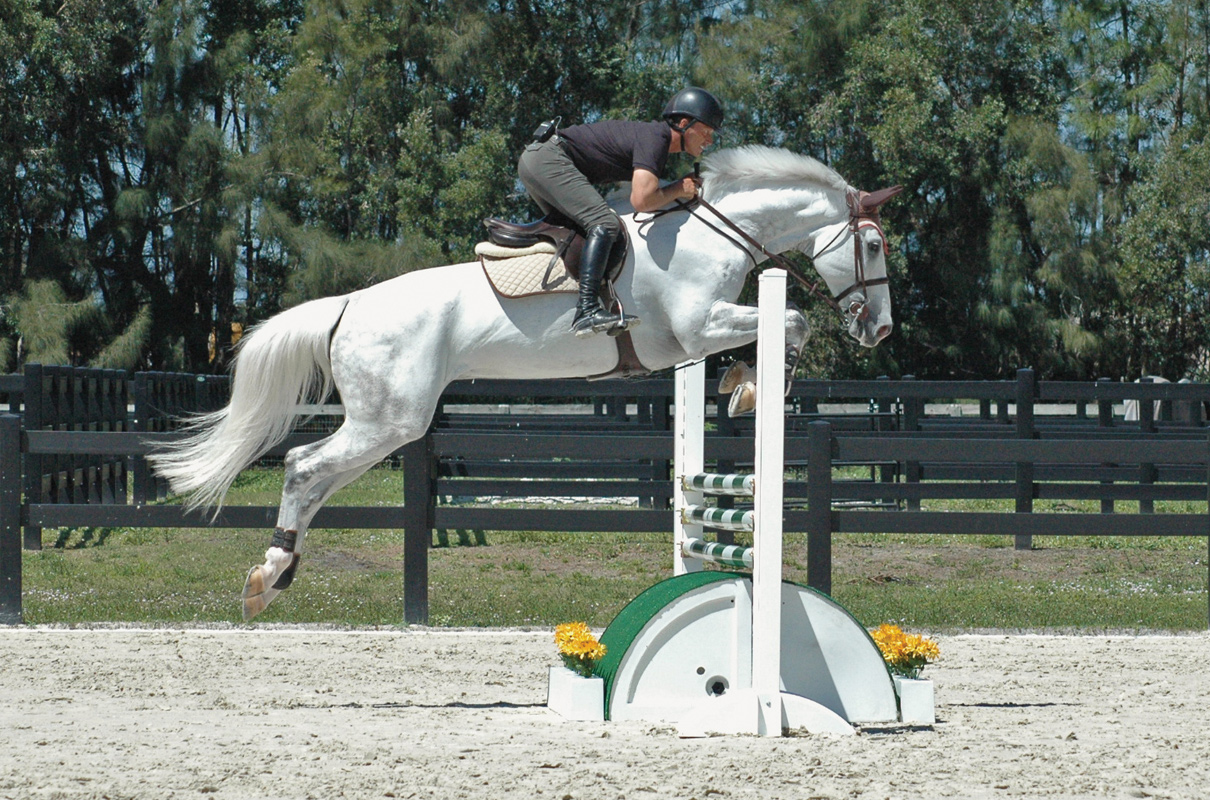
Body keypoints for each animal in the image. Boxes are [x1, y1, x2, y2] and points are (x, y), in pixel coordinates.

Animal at [147, 144, 900, 620]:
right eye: (873, 245)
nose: (881, 330)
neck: (712, 236)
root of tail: (350, 304)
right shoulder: (694, 329)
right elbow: (794, 319)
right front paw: (752, 388)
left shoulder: (696, 338)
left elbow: (783, 329)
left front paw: (742, 385)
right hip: (390, 419)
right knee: (305, 467)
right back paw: (268, 576)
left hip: (387, 423)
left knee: (317, 477)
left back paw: (279, 573)